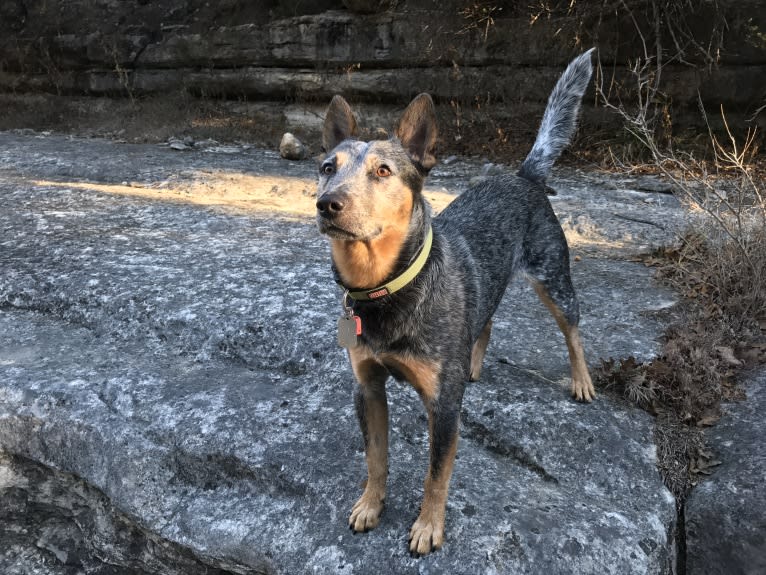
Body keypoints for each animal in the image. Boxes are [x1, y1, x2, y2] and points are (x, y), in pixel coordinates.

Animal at [316, 50, 596, 560]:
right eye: (328, 166)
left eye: (383, 171)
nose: (328, 203)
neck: (389, 287)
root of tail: (523, 175)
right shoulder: (367, 386)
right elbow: (376, 457)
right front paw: (370, 504)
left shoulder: (444, 407)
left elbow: (436, 473)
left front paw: (428, 527)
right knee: (485, 320)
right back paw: (474, 362)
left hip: (553, 276)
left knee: (573, 328)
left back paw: (582, 380)